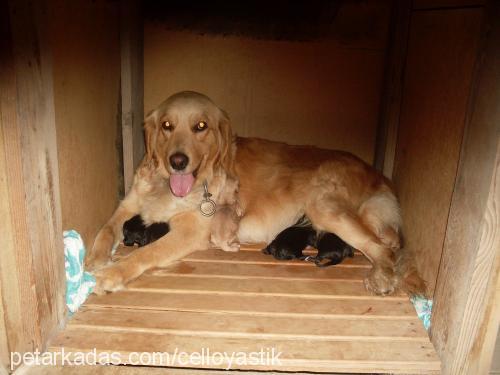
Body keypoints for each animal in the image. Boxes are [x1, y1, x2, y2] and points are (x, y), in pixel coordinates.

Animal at [85, 91, 422, 296]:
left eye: (201, 126)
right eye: (167, 125)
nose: (177, 161)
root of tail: (375, 173)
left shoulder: (189, 231)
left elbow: (146, 252)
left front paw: (112, 273)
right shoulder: (127, 205)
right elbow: (106, 229)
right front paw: (93, 259)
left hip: (324, 206)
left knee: (383, 249)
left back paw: (381, 277)